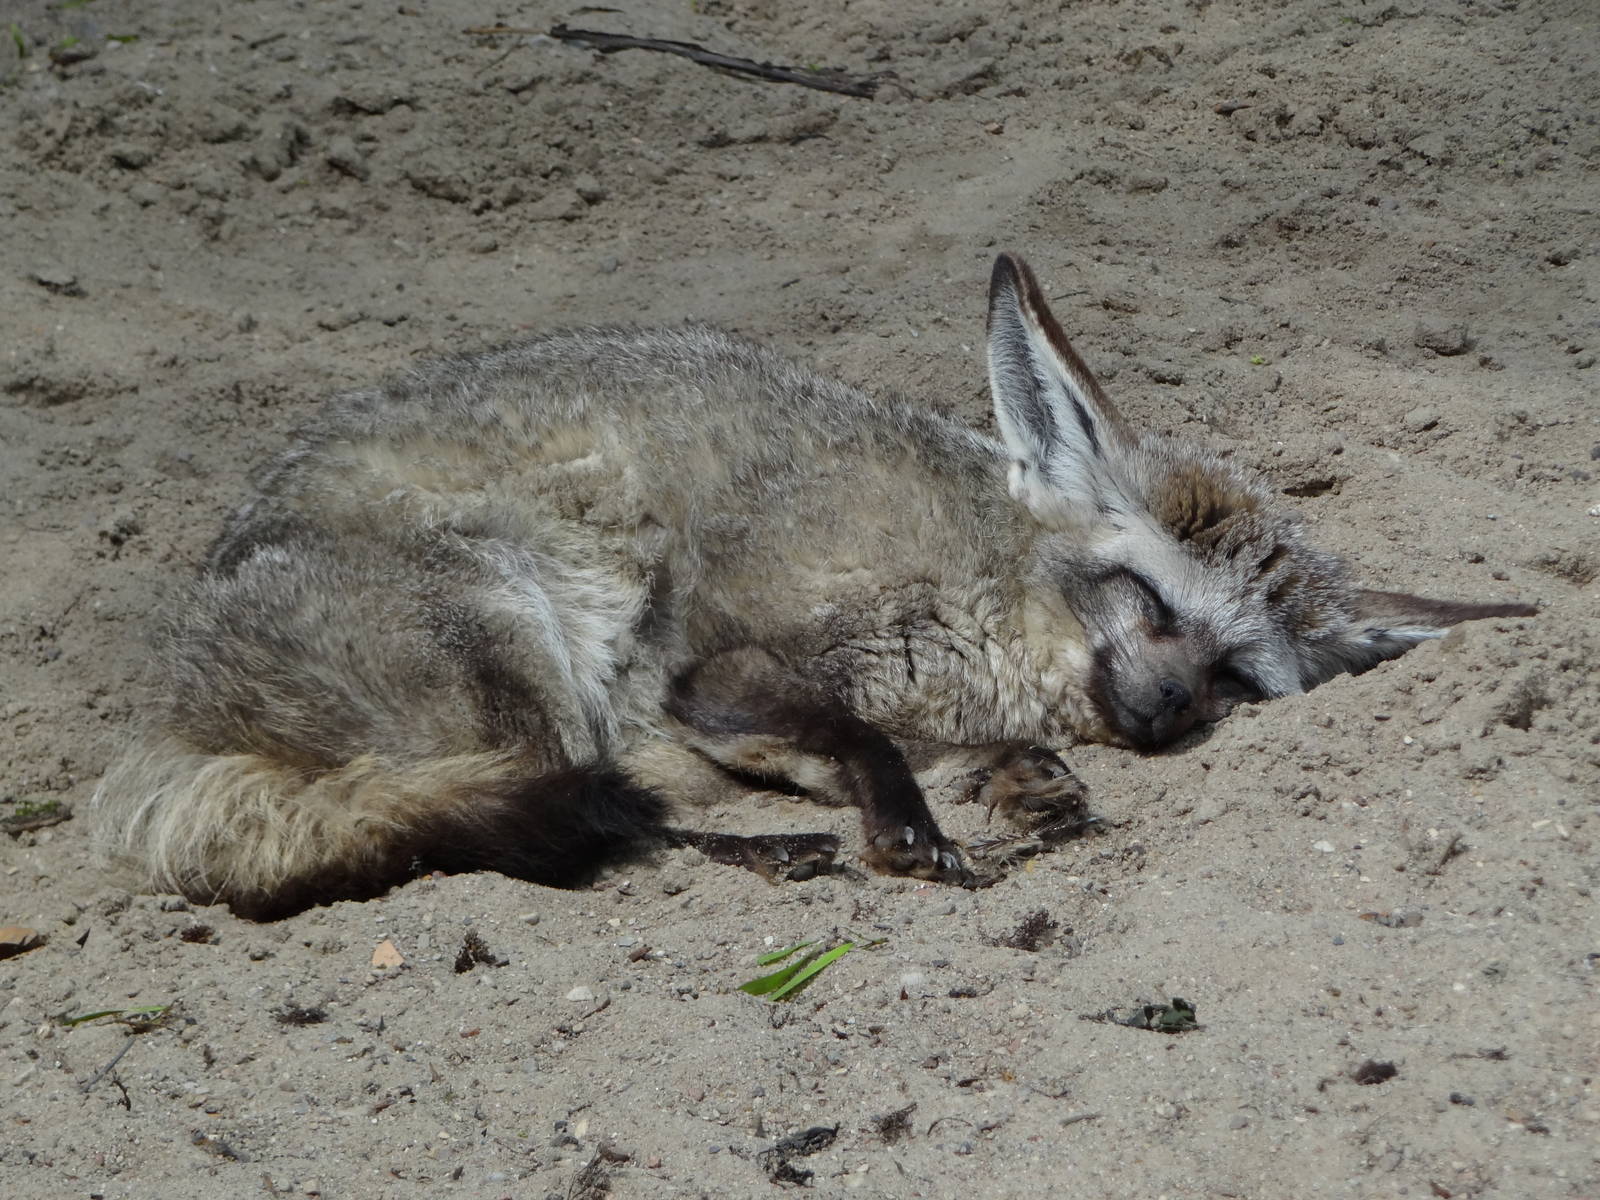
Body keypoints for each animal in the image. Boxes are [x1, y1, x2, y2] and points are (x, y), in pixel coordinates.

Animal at [92, 253, 1535, 919]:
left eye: (1240, 671)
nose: (1171, 714)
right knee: (560, 811)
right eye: (1152, 600)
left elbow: (924, 749)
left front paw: (1012, 780)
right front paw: (911, 819)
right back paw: (760, 846)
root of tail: (172, 718)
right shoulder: (711, 673)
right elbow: (855, 739)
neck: (982, 602)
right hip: (520, 635)